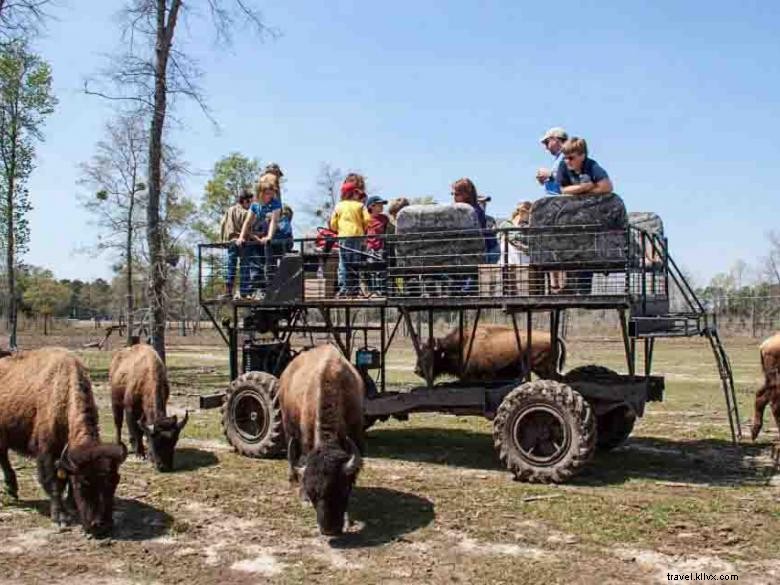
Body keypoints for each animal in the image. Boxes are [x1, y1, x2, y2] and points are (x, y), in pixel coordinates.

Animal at [0, 346, 126, 532]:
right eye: (83, 483)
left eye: (115, 482)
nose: (102, 525)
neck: (64, 390)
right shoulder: (47, 453)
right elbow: (54, 483)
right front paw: (60, 517)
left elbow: (66, 479)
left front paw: (72, 504)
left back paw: (12, 490)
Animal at [109, 342, 188, 470]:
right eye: (156, 441)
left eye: (175, 440)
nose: (164, 466)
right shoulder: (131, 410)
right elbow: (136, 431)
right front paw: (140, 454)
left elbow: (141, 430)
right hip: (116, 403)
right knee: (118, 424)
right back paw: (119, 443)